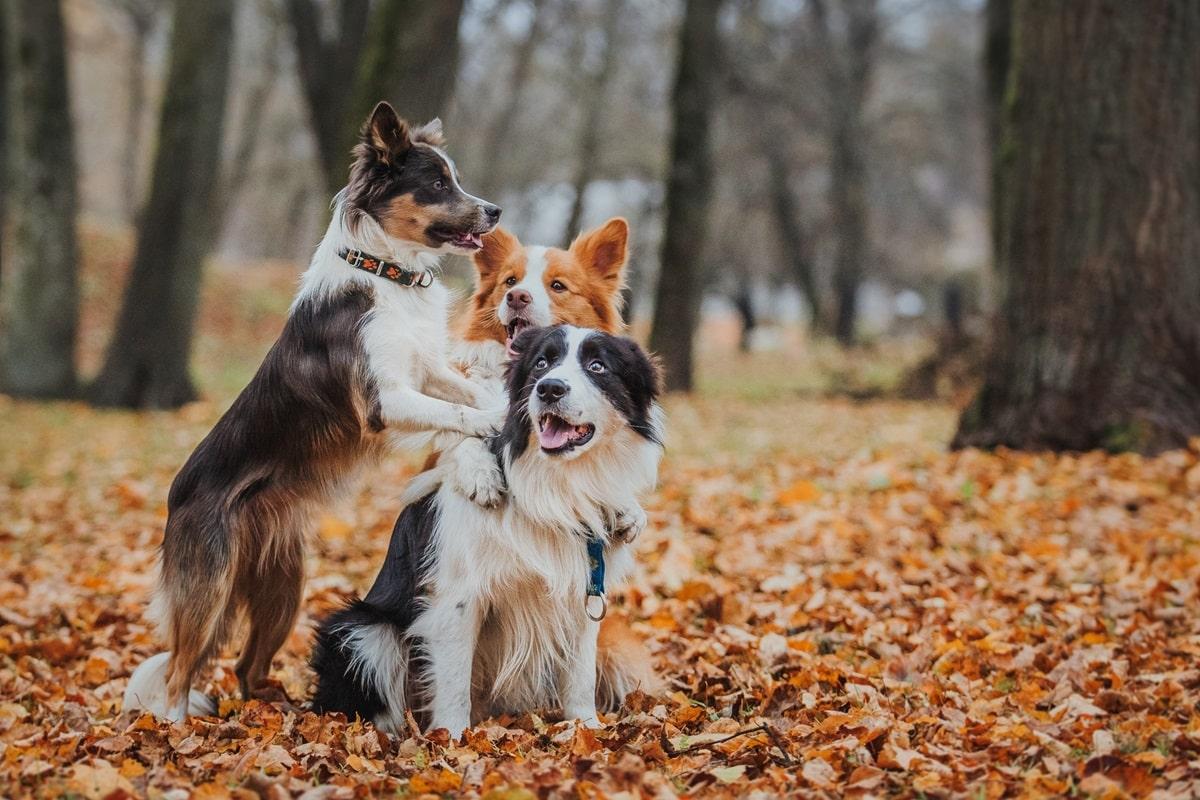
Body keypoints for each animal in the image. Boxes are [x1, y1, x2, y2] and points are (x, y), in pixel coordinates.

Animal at [124, 103, 508, 724]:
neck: (382, 271)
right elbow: (457, 414)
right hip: (210, 587)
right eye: (436, 184)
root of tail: (175, 497)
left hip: (284, 587)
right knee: (181, 671)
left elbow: (464, 400)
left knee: (244, 667)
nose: (495, 211)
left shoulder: (424, 370)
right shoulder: (382, 401)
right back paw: (178, 728)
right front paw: (493, 432)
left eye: (454, 179)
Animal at [309, 326, 662, 738]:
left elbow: (580, 674)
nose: (549, 389)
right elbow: (453, 680)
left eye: (597, 366)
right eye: (541, 363)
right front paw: (452, 738)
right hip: (363, 629)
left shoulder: (584, 589)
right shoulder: (459, 595)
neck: (553, 486)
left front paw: (584, 728)